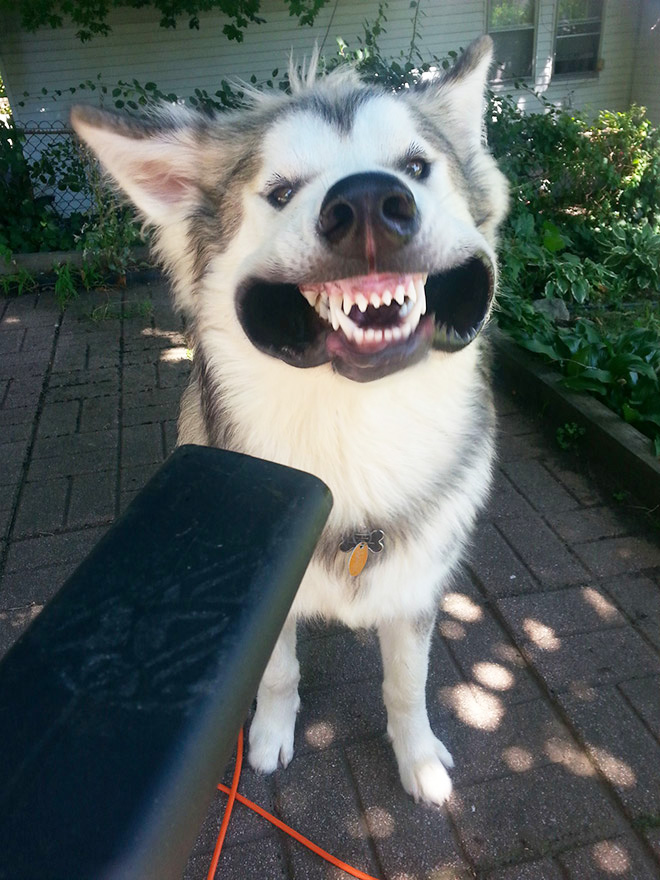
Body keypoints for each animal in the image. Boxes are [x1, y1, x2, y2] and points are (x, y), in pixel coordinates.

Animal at [71, 34, 506, 804]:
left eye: (416, 168)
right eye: (280, 193)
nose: (369, 203)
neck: (353, 430)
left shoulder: (414, 592)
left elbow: (408, 685)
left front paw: (418, 759)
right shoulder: (268, 601)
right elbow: (277, 671)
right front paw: (272, 735)